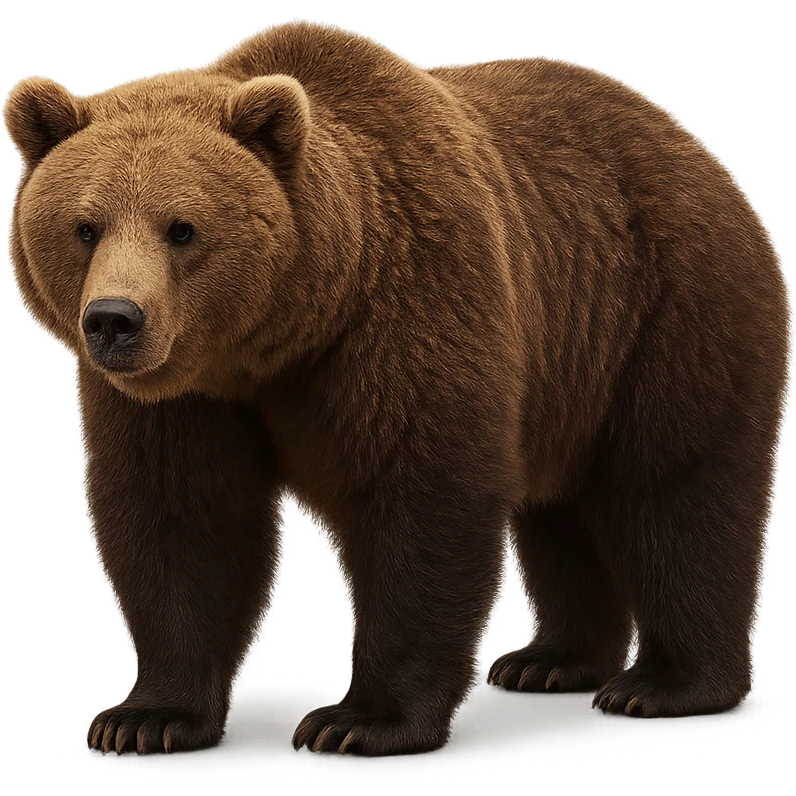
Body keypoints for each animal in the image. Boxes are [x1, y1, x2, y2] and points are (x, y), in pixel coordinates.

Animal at [3, 19, 789, 757]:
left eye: (183, 228)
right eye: (85, 225)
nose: (115, 320)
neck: (280, 334)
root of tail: (698, 146)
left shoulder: (409, 308)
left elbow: (419, 502)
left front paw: (360, 722)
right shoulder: (183, 399)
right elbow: (180, 516)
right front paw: (148, 718)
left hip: (666, 312)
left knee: (678, 489)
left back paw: (665, 683)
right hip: (572, 371)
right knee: (562, 510)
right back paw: (551, 660)